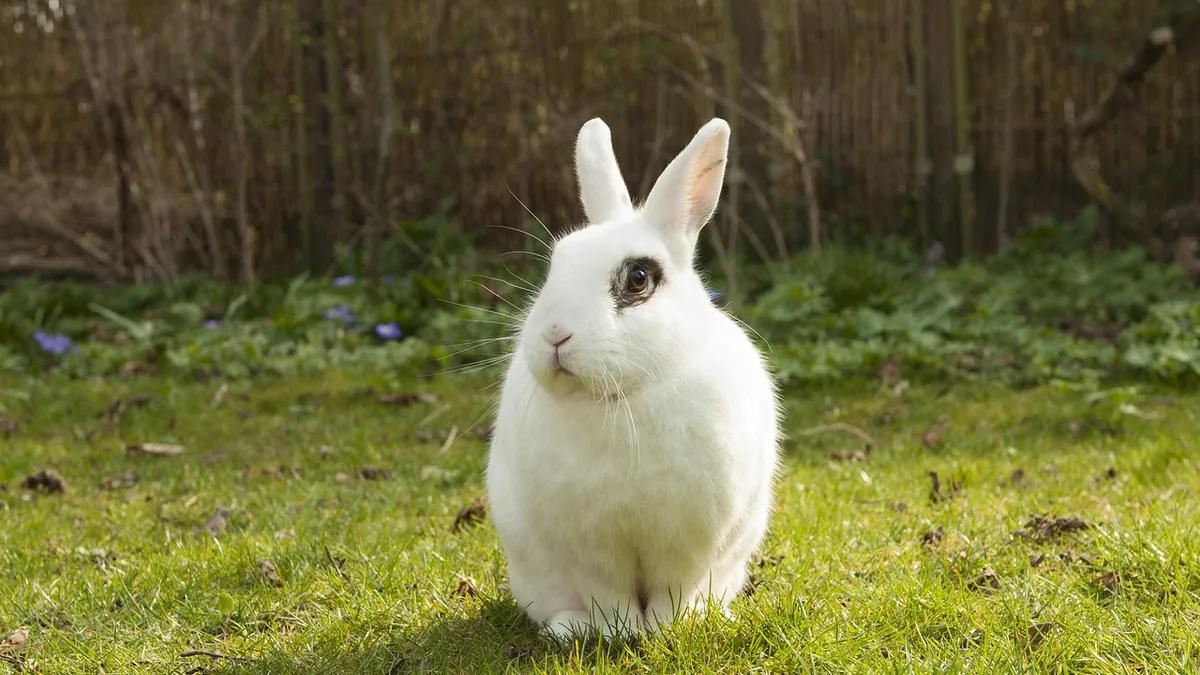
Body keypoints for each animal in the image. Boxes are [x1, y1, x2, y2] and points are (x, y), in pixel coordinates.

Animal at [485, 116, 781, 641]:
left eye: (638, 278)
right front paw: (619, 632)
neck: (621, 396)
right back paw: (569, 628)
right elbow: (608, 593)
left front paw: (666, 629)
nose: (555, 333)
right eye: (556, 264)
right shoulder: (591, 547)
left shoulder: (687, 542)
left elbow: (673, 589)